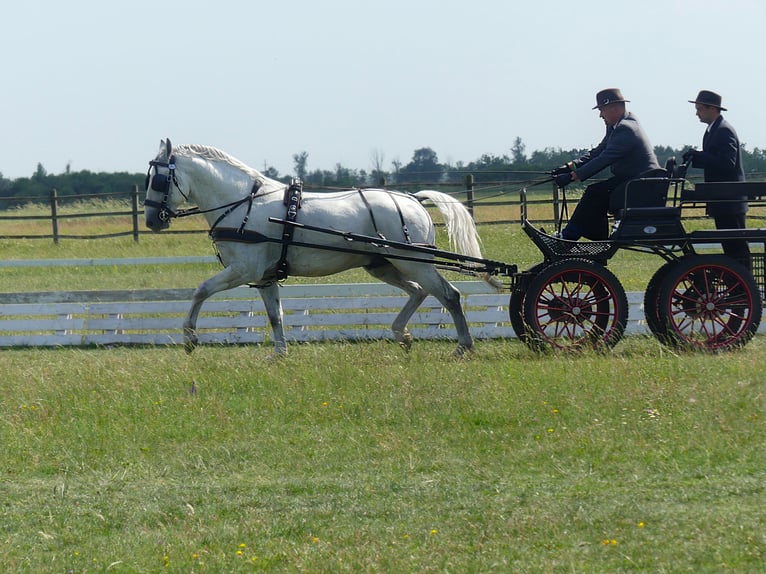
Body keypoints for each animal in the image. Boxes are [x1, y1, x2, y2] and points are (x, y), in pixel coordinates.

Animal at [143, 139, 501, 356]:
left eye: (158, 180)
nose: (151, 221)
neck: (243, 204)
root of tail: (412, 198)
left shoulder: (243, 270)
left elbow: (201, 290)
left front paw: (190, 338)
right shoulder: (265, 276)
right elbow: (275, 315)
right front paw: (280, 353)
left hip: (414, 261)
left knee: (449, 295)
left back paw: (463, 346)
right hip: (384, 265)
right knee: (419, 291)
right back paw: (403, 334)